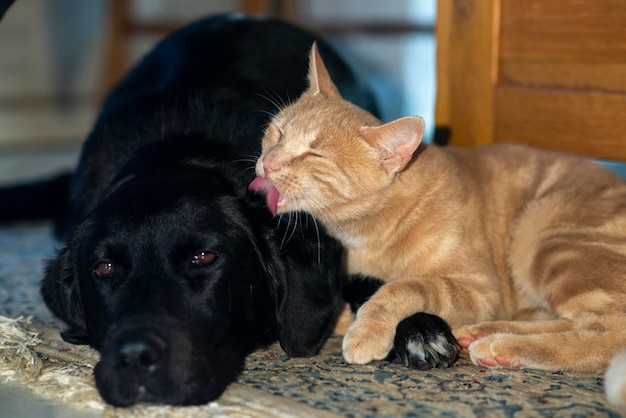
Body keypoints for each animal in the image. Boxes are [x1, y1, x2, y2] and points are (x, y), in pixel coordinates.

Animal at [250, 45, 624, 376]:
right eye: (278, 132)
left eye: (314, 154)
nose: (268, 163)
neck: (364, 233)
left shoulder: (480, 289)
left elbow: (406, 286)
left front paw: (368, 330)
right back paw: (484, 333)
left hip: (545, 238)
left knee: (609, 333)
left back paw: (503, 346)